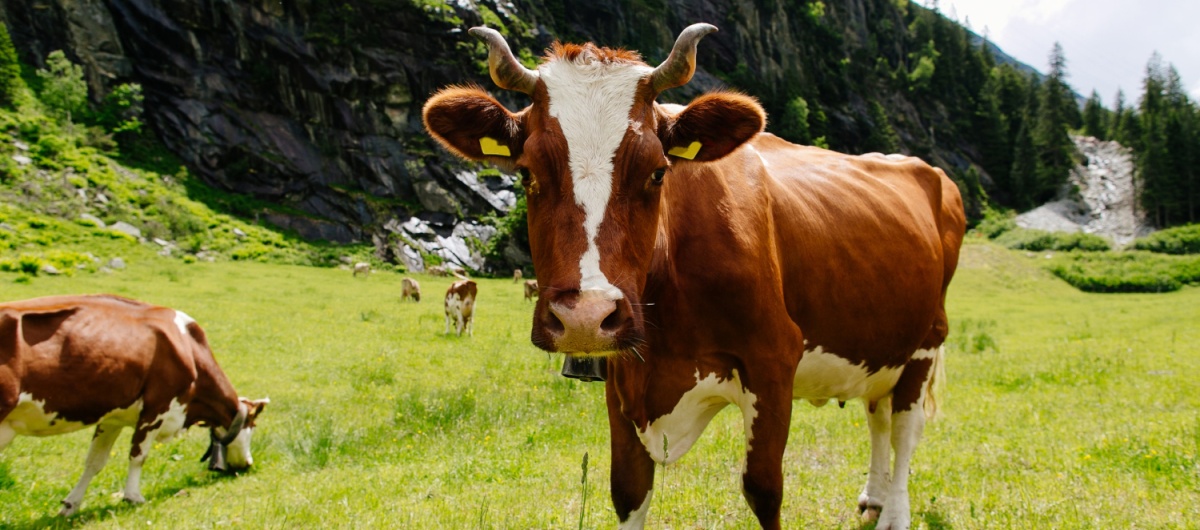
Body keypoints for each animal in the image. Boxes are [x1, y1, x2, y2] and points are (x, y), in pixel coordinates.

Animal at [0, 293, 267, 513]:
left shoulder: (112, 417)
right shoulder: (157, 409)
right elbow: (138, 456)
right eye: (253, 427)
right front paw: (133, 497)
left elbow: (95, 461)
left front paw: (71, 504)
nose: (248, 464)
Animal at [422, 24, 964, 530]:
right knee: (878, 415)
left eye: (658, 171)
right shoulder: (621, 376)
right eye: (528, 172)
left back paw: (894, 511)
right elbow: (628, 488)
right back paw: (873, 498)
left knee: (904, 426)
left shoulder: (774, 359)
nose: (584, 318)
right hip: (881, 347)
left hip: (925, 342)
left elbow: (764, 489)